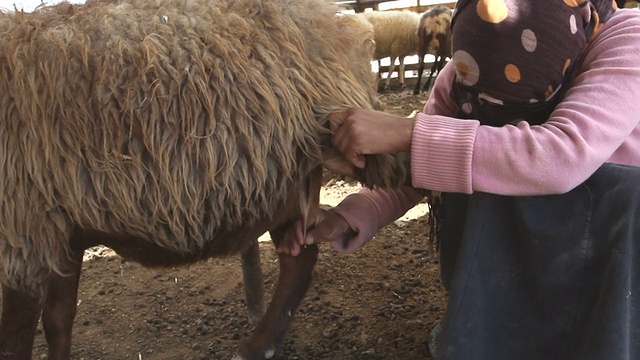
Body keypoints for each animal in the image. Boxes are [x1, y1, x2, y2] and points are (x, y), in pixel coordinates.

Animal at [0, 0, 410, 360]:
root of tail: (337, 17)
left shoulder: (23, 236)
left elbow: (15, 339)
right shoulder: (52, 230)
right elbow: (58, 320)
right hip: (284, 184)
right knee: (299, 257)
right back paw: (260, 345)